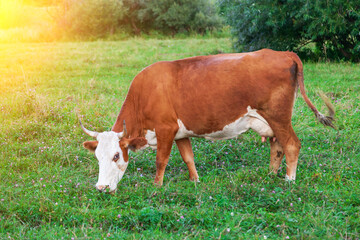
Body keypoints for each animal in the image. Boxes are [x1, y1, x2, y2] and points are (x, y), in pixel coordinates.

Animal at [79, 48, 334, 193]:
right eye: (97, 157)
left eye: (116, 155)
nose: (101, 187)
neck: (144, 94)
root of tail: (284, 53)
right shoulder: (180, 132)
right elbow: (188, 158)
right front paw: (195, 181)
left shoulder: (165, 129)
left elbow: (161, 160)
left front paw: (157, 186)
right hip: (270, 121)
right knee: (277, 146)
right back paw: (270, 176)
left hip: (279, 117)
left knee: (291, 144)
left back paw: (289, 180)